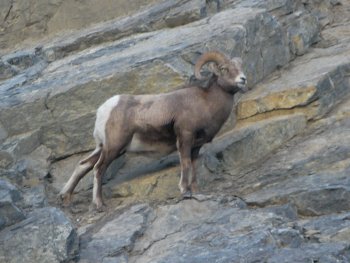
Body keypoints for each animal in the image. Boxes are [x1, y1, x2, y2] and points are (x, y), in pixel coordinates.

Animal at [59, 51, 246, 211]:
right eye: (224, 69)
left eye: (240, 68)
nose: (242, 79)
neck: (206, 103)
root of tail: (104, 109)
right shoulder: (185, 138)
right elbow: (185, 164)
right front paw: (184, 191)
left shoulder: (196, 146)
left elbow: (193, 165)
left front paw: (195, 190)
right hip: (113, 147)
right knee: (98, 169)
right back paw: (99, 204)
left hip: (106, 148)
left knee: (84, 165)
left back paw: (65, 198)